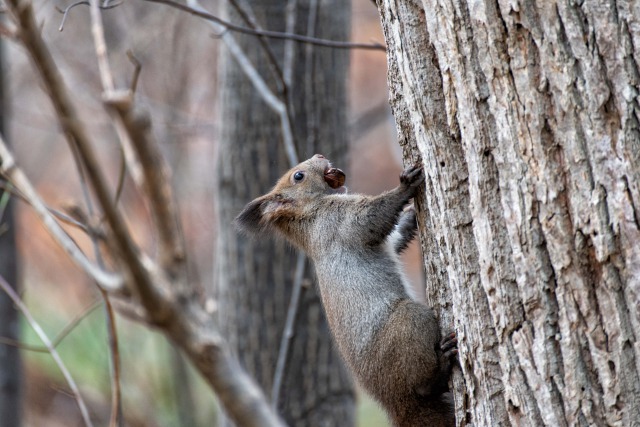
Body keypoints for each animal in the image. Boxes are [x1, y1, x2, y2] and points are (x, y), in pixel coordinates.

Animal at [238, 155, 458, 426]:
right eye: (298, 176)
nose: (320, 156)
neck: (310, 214)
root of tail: (396, 403)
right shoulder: (342, 222)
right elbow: (374, 216)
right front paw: (405, 185)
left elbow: (397, 234)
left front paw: (411, 215)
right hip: (409, 323)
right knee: (422, 386)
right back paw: (442, 366)